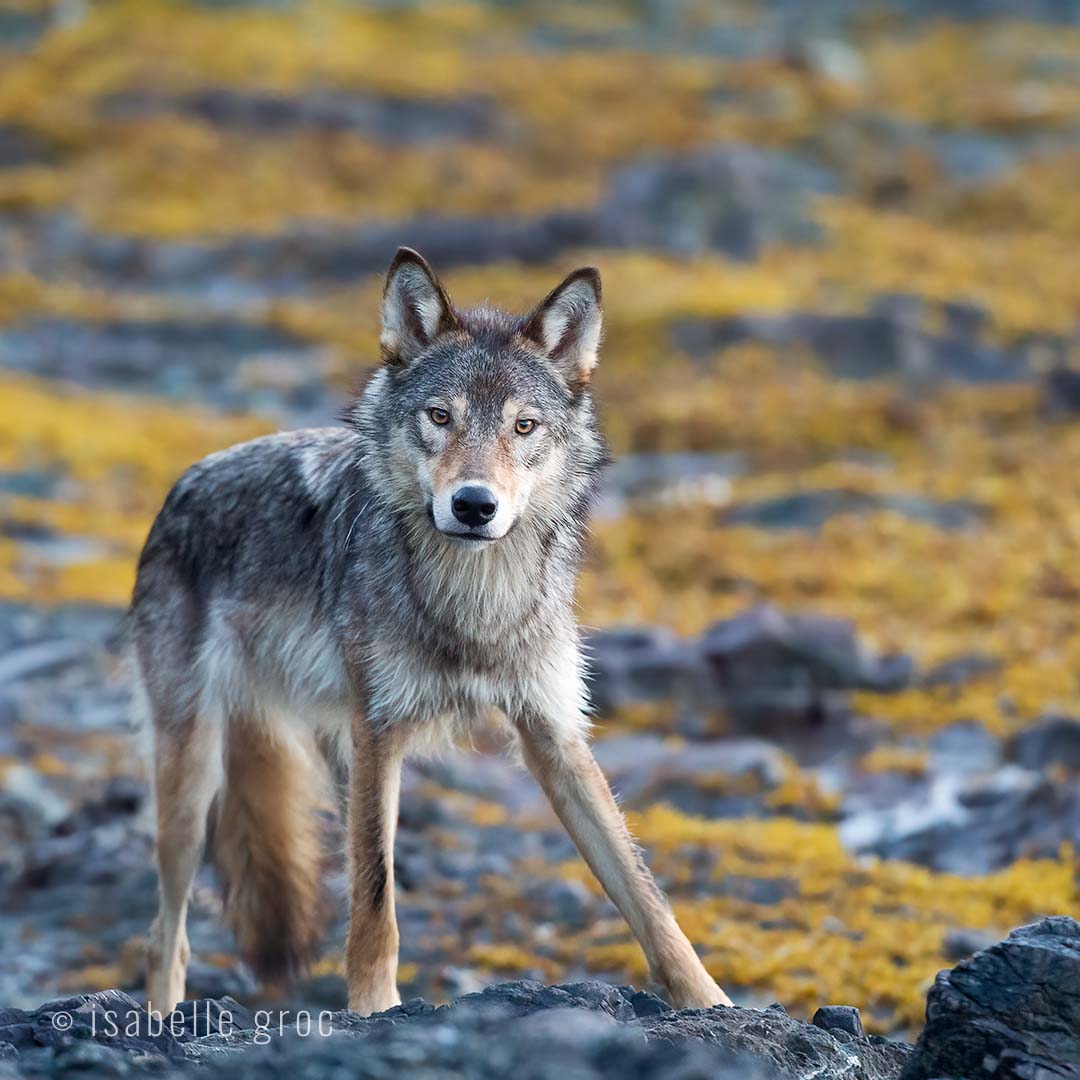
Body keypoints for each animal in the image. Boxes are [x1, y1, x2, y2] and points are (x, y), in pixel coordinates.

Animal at [133, 247, 733, 1016]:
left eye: (524, 427)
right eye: (440, 416)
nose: (474, 505)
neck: (474, 601)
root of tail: (180, 488)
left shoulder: (554, 733)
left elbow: (644, 892)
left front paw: (710, 1000)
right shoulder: (378, 731)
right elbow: (375, 895)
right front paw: (374, 1007)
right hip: (192, 776)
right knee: (165, 937)